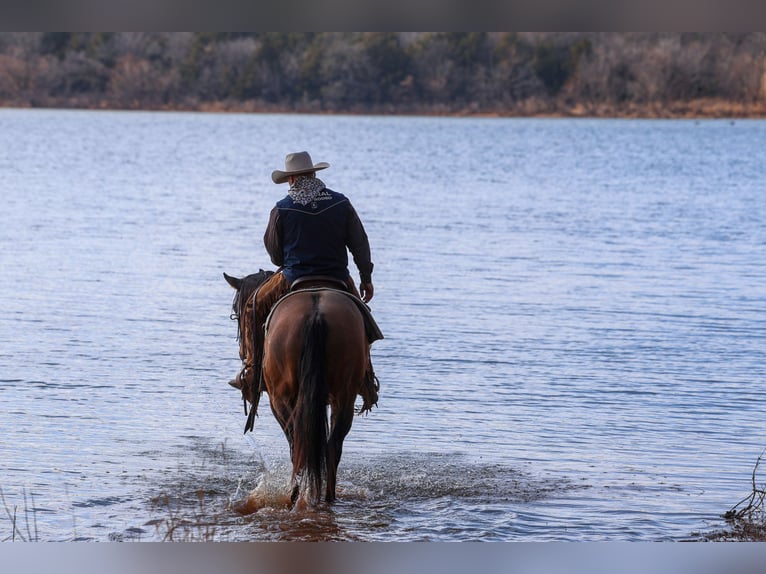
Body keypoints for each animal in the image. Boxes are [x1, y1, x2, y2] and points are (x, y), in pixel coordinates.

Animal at [224, 270, 370, 506]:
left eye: (239, 316)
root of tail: (317, 316)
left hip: (282, 398)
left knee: (298, 444)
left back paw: (295, 495)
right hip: (344, 397)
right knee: (331, 446)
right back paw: (326, 499)